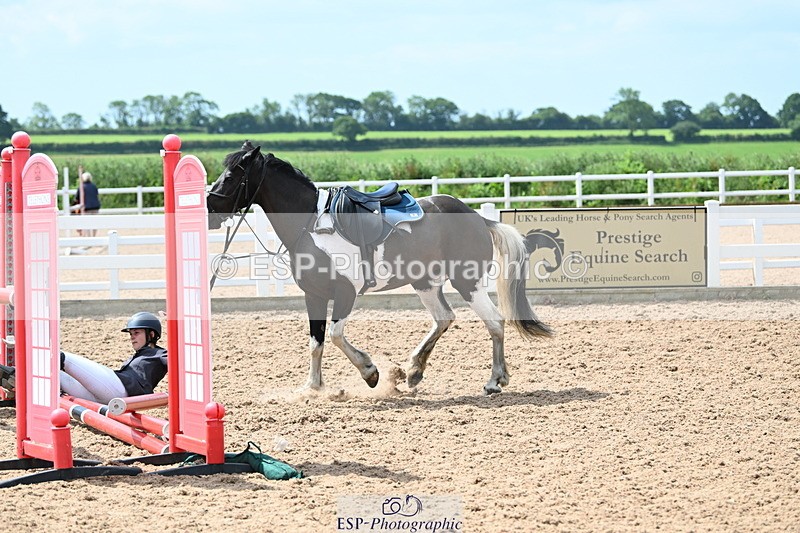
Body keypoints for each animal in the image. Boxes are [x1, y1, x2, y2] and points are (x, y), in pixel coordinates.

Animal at [206, 141, 552, 394]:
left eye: (232, 176)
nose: (208, 207)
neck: (312, 226)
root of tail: (479, 218)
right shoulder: (313, 295)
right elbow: (317, 342)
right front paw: (313, 388)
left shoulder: (345, 292)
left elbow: (336, 335)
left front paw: (370, 372)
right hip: (425, 283)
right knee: (444, 318)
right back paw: (414, 371)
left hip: (468, 282)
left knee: (494, 322)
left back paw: (494, 381)